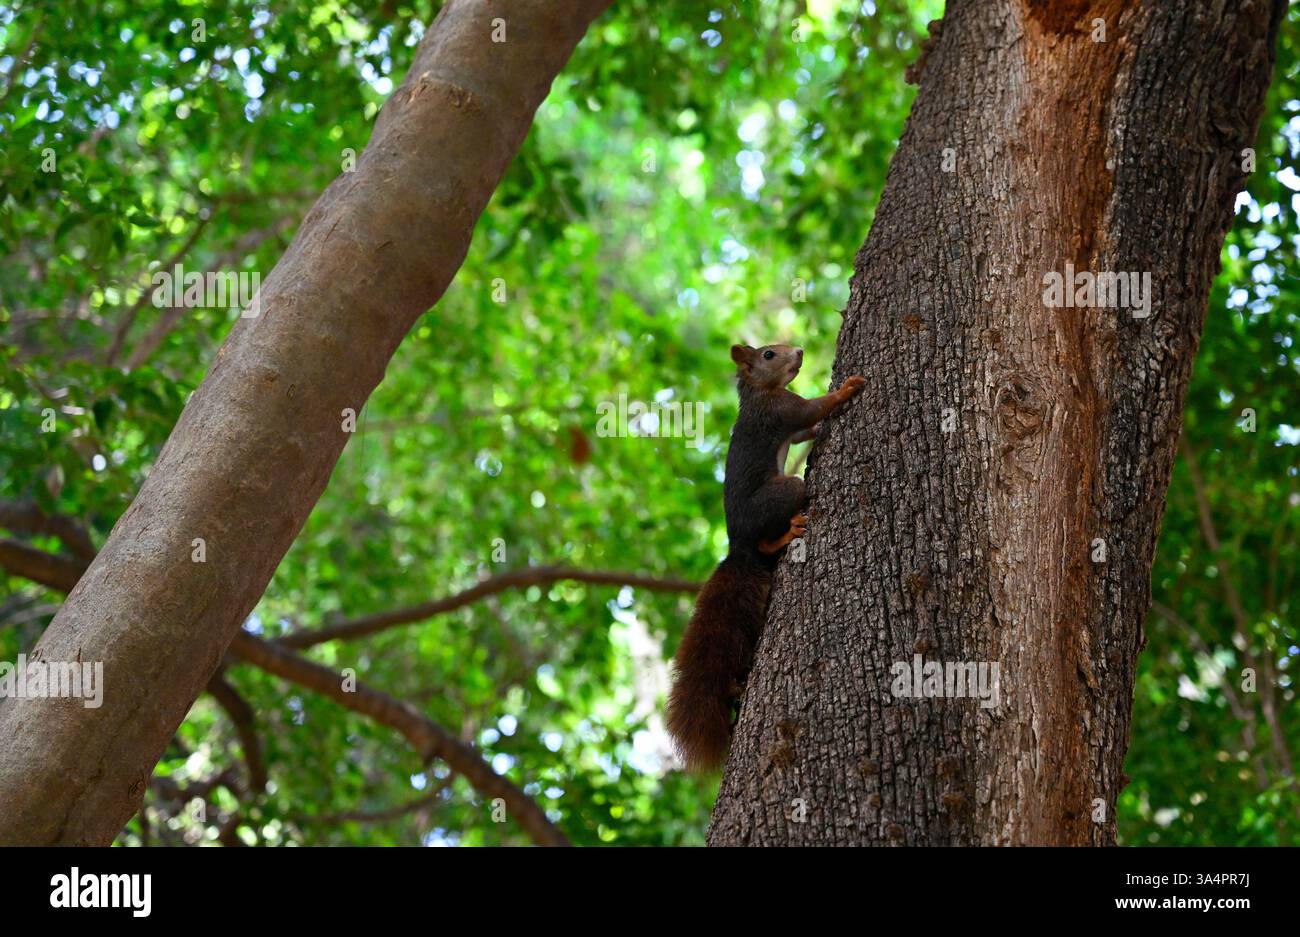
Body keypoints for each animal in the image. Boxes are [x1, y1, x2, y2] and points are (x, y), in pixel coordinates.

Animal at [666, 343, 866, 772]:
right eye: (770, 354)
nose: (801, 351)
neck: (759, 392)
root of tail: (737, 546)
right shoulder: (779, 410)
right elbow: (812, 411)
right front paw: (845, 389)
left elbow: (807, 429)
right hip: (785, 491)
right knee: (768, 537)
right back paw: (784, 536)